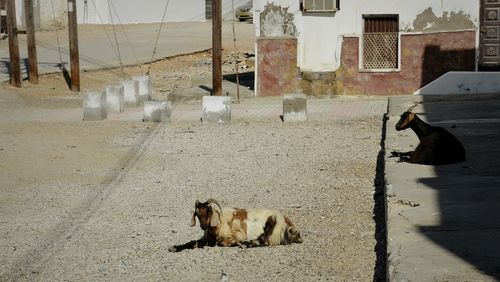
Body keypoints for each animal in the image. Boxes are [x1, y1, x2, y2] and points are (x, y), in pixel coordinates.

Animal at [168, 199, 302, 252]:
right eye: (197, 213)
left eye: (209, 211)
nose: (203, 226)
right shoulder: (206, 239)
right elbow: (192, 242)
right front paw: (174, 248)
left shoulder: (237, 235)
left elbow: (222, 243)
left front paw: (236, 243)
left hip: (272, 224)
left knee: (264, 240)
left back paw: (247, 244)